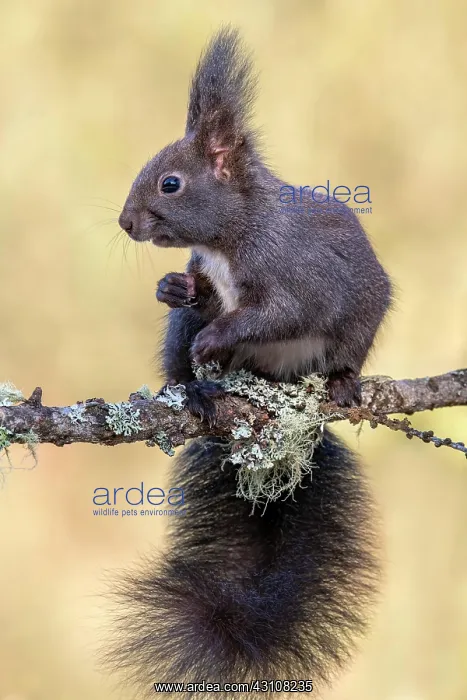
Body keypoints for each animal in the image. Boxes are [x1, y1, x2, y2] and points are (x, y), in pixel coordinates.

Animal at [110, 28, 392, 697]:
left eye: (170, 184)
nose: (125, 223)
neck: (228, 236)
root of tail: (276, 394)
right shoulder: (207, 276)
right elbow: (201, 299)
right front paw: (174, 288)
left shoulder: (296, 278)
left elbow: (276, 314)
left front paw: (220, 335)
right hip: (181, 349)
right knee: (177, 368)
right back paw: (196, 393)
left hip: (357, 323)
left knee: (341, 354)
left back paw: (341, 383)